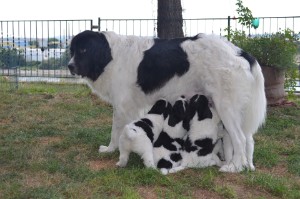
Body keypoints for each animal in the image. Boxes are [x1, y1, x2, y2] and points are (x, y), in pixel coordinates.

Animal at [67, 29, 266, 173]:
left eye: (84, 50)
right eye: (72, 51)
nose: (69, 66)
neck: (111, 56)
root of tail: (241, 52)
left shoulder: (123, 106)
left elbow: (116, 131)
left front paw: (111, 150)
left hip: (226, 107)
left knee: (240, 138)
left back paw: (234, 167)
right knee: (248, 138)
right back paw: (248, 165)